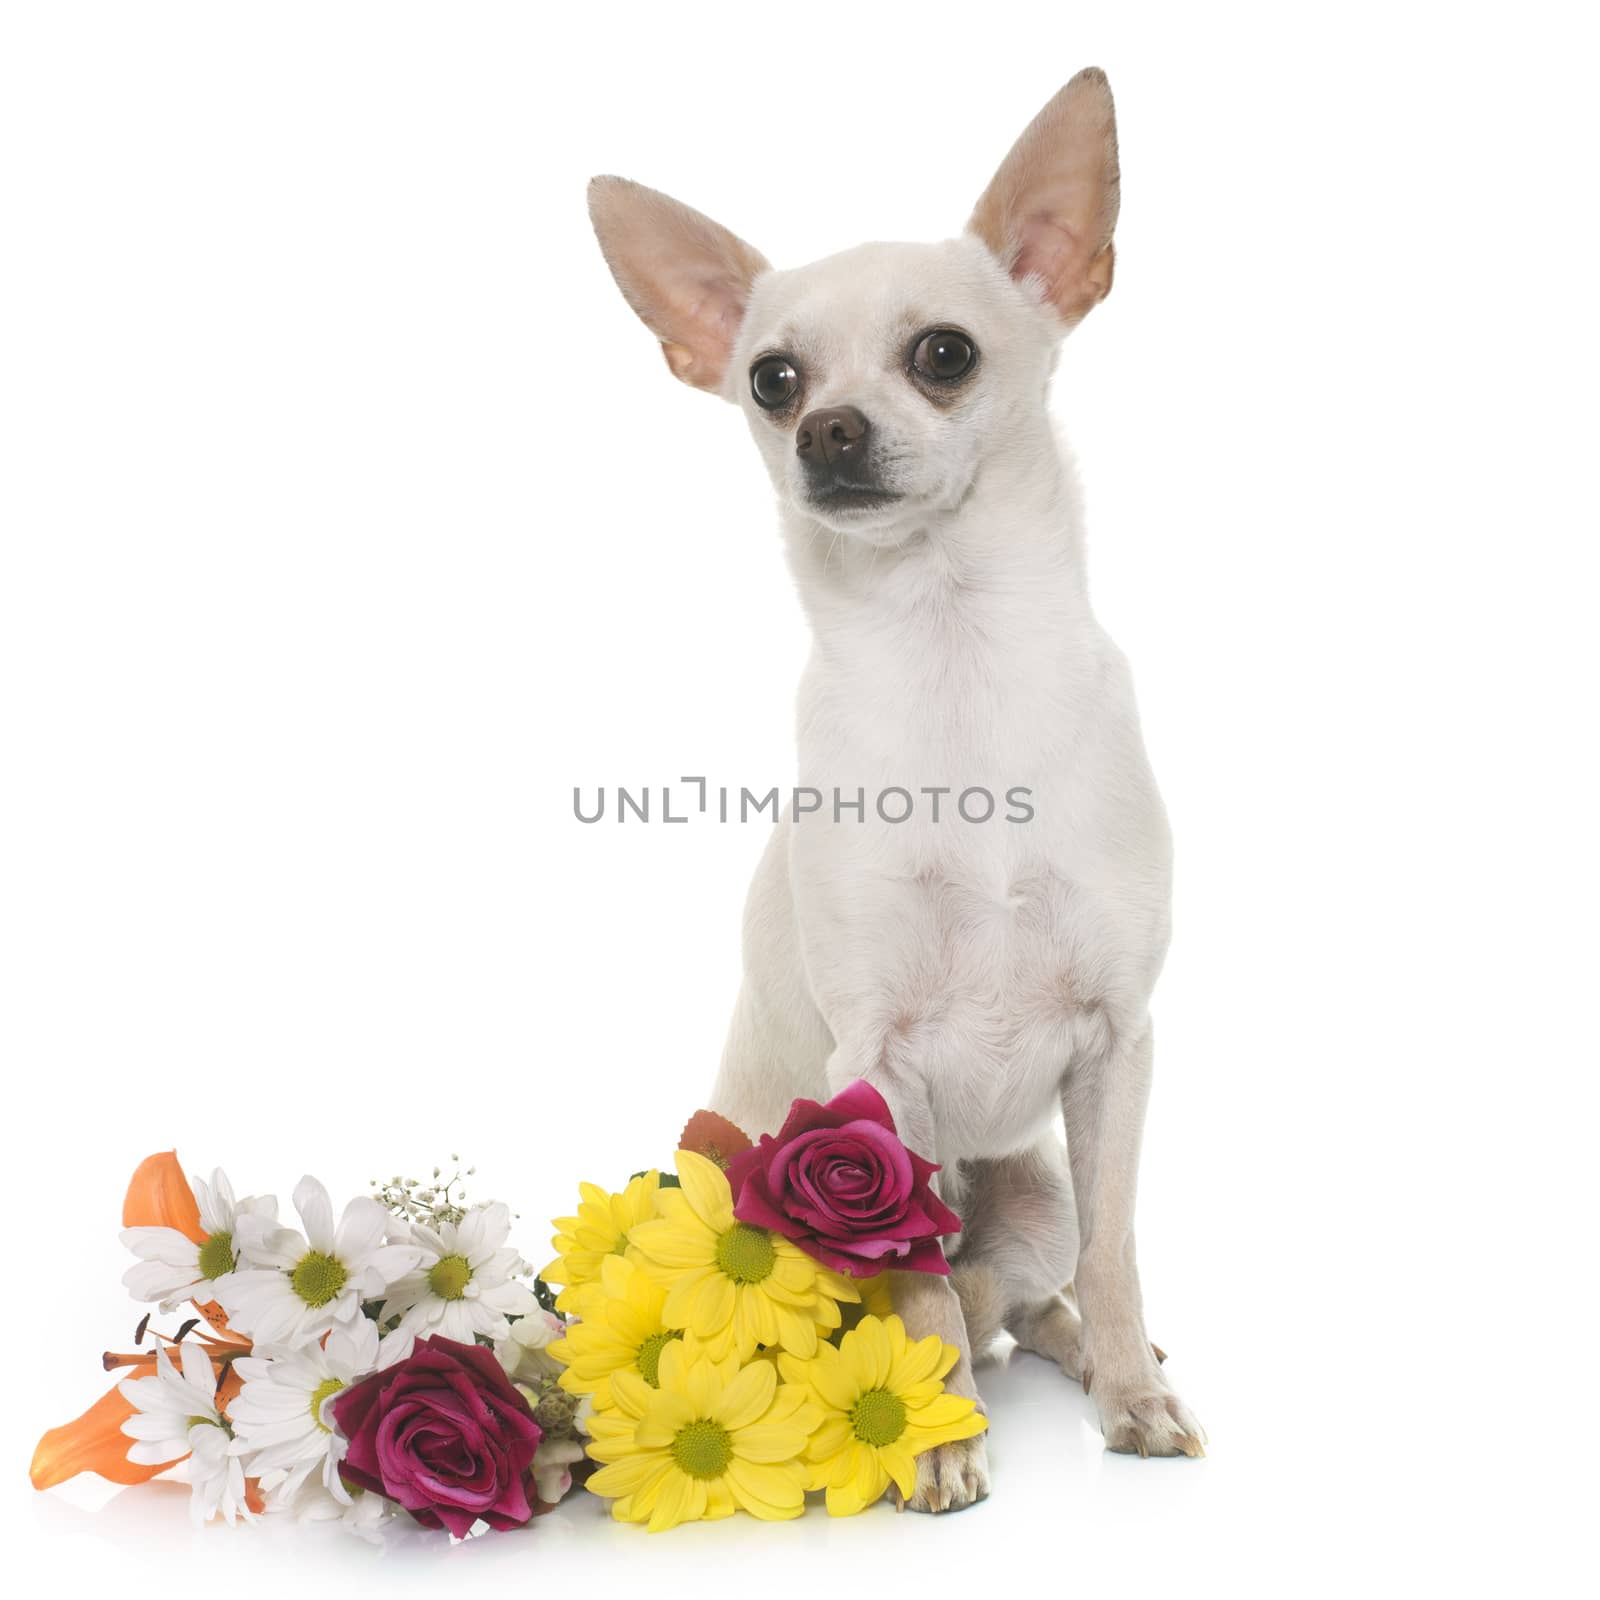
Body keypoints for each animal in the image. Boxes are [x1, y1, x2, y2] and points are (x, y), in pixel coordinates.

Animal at [588, 65, 1203, 1510]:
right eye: (771, 379)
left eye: (944, 355)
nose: (827, 428)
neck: (952, 653)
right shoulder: (877, 1080)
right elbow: (913, 1280)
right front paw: (934, 1439)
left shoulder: (1117, 1049)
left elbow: (1119, 1247)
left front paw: (1133, 1396)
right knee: (956, 1297)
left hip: (1036, 1190)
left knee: (1038, 1292)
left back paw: (1096, 1355)